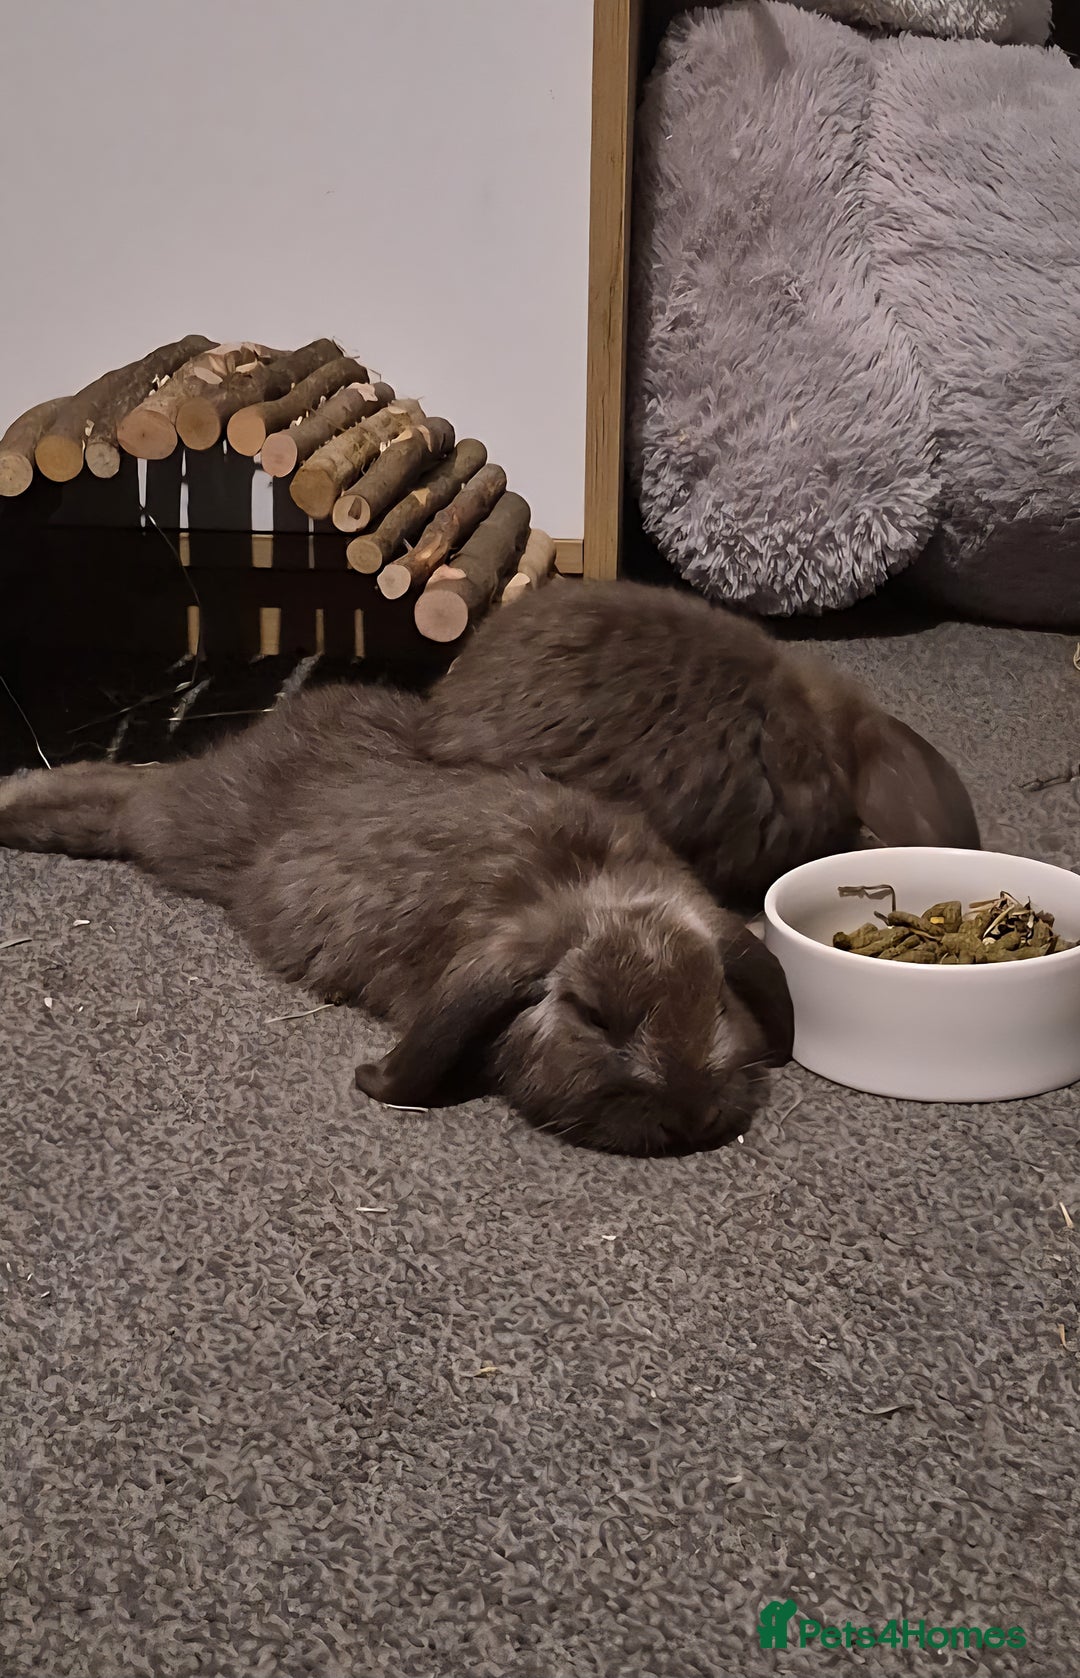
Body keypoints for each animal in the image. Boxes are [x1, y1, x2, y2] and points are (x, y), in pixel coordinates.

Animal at [0, 681, 793, 1157]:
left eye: (717, 1002)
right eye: (593, 1016)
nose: (690, 1117)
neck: (590, 887)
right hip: (189, 826)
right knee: (126, 796)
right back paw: (19, 798)